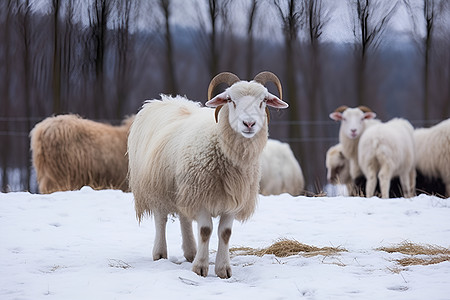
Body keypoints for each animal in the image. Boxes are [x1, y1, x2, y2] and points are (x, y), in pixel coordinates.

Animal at [126, 71, 288, 278]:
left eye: (264, 100)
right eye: (230, 100)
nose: (249, 123)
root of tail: (164, 100)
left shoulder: (231, 199)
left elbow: (225, 233)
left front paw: (223, 269)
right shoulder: (201, 195)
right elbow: (205, 230)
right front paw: (200, 268)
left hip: (183, 187)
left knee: (184, 217)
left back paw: (190, 252)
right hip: (157, 184)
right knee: (161, 218)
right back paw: (160, 253)